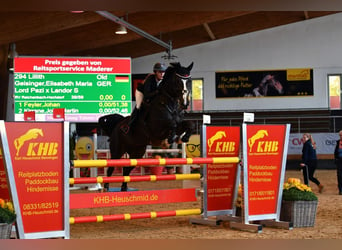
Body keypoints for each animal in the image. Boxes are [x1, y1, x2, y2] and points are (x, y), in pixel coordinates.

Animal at [99, 62, 195, 191]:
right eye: (177, 80)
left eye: (189, 80)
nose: (185, 104)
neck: (168, 104)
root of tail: (116, 126)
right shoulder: (157, 129)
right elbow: (172, 124)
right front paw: (170, 139)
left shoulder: (179, 123)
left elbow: (189, 124)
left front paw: (184, 137)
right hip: (117, 151)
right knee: (111, 168)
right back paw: (106, 188)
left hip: (137, 152)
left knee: (126, 169)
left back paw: (124, 188)